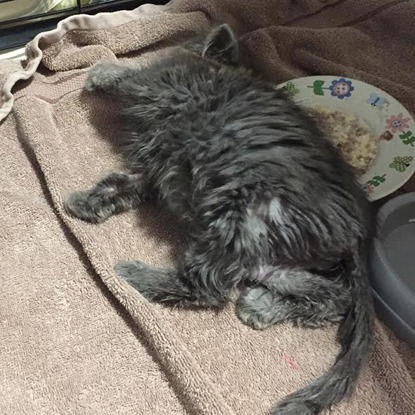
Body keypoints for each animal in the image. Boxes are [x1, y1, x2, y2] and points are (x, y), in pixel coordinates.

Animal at [66, 25, 376, 415]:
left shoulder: (162, 84)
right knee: (332, 296)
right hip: (270, 249)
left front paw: (102, 71)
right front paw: (88, 202)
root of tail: (357, 232)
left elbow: (129, 74)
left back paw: (133, 276)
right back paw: (262, 307)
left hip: (243, 217)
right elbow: (122, 185)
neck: (220, 66)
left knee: (208, 289)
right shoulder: (157, 166)